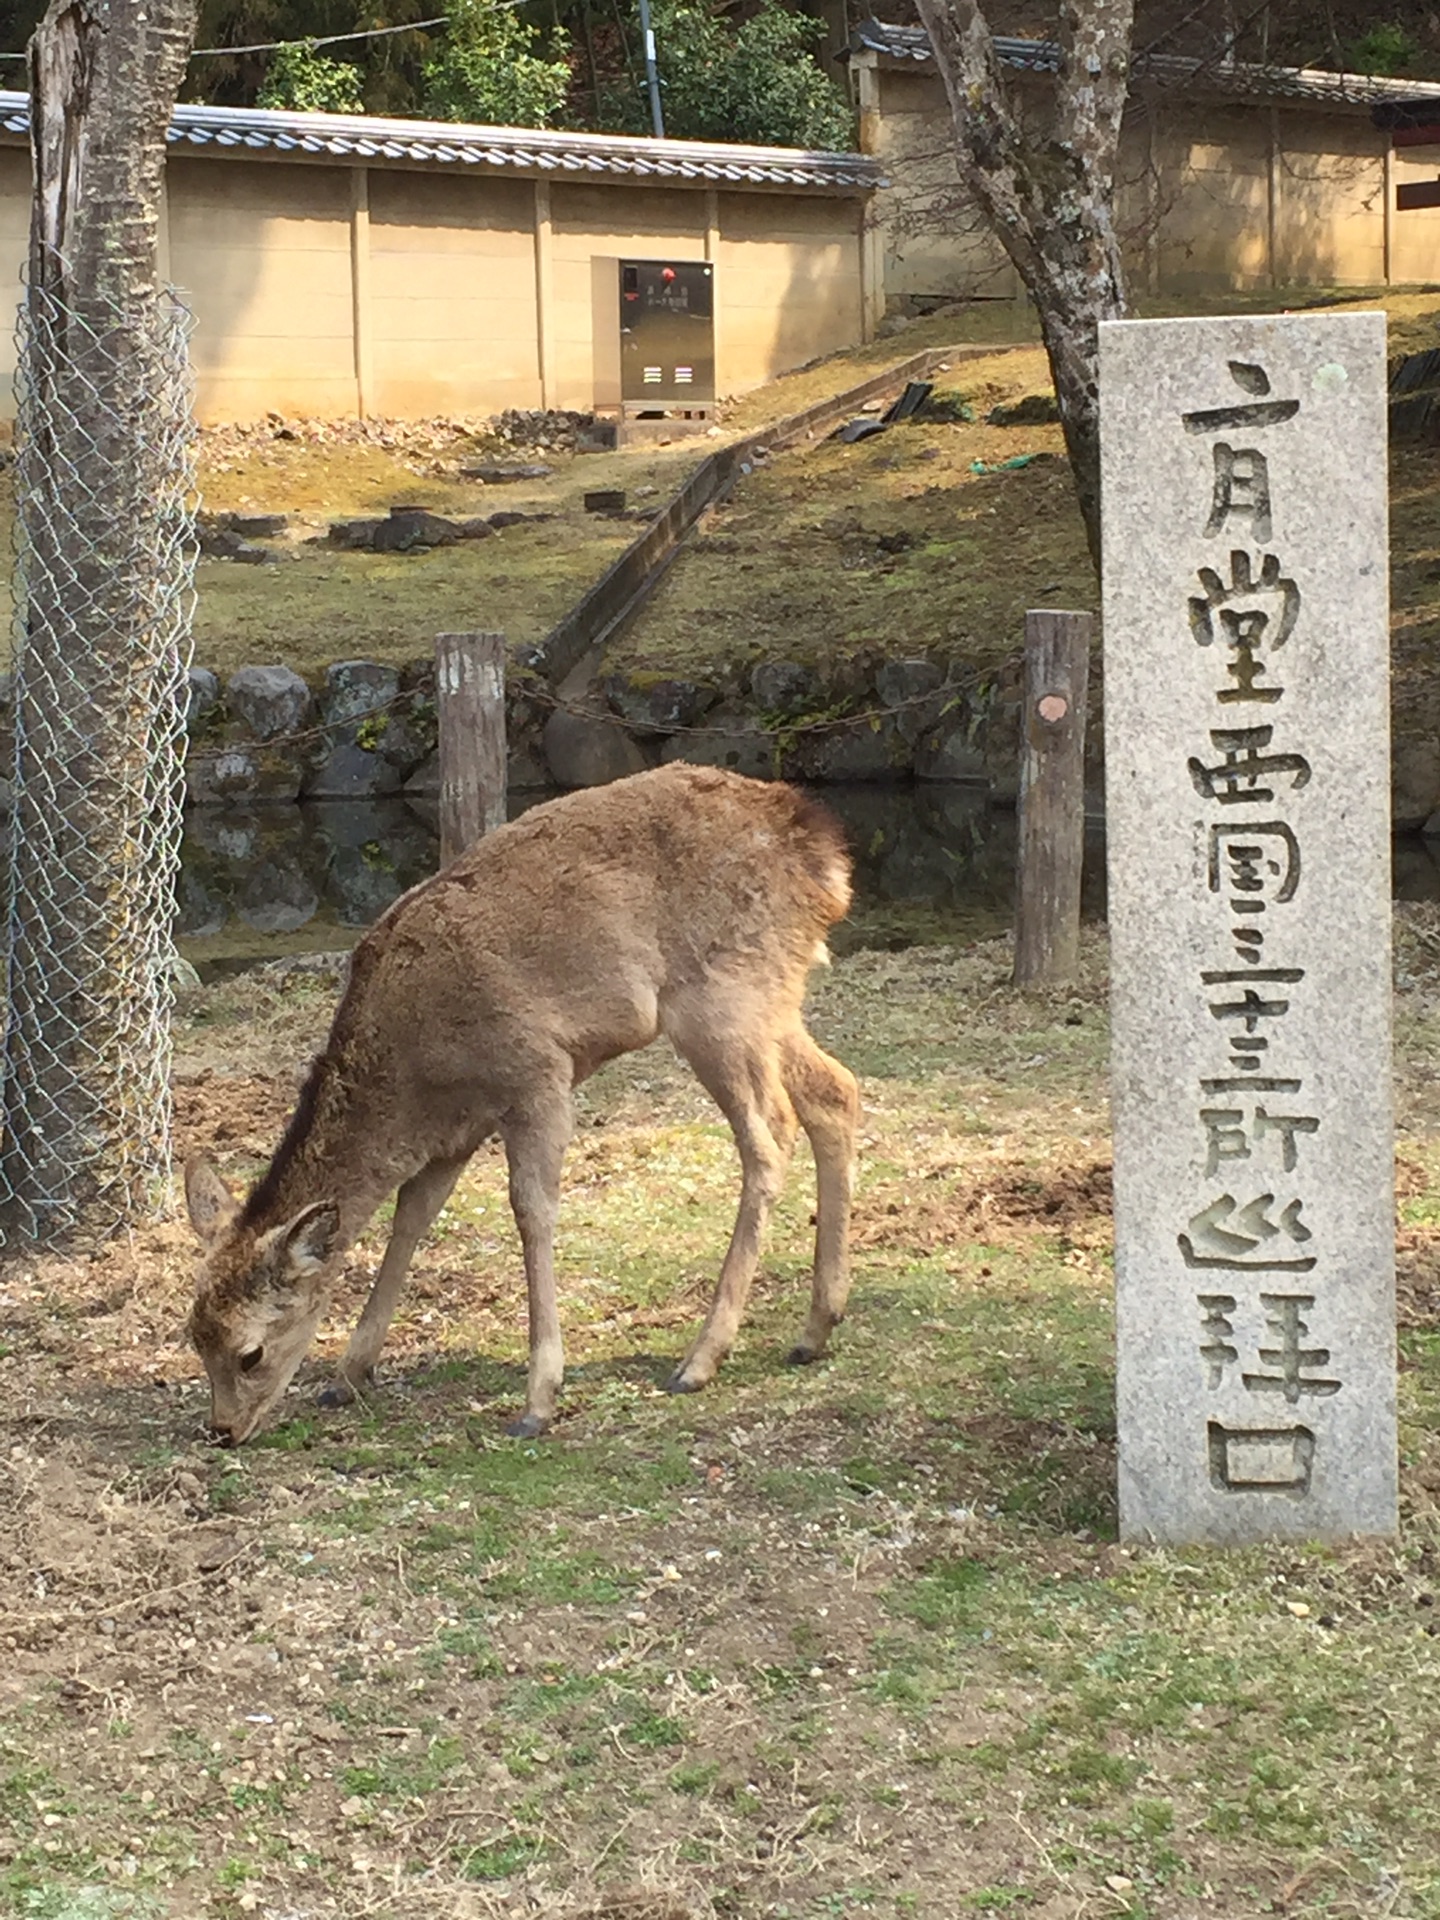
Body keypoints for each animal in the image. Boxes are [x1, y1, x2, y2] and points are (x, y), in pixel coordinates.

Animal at [180, 760, 856, 1443]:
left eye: (249, 1352)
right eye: (195, 1337)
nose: (222, 1430)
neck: (414, 1077)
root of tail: (825, 855)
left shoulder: (537, 1074)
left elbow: (532, 1212)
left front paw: (538, 1400)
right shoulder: (454, 1133)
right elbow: (411, 1217)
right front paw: (347, 1375)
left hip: (719, 999)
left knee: (768, 1135)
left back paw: (700, 1359)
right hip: (771, 996)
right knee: (835, 1090)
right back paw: (814, 1329)